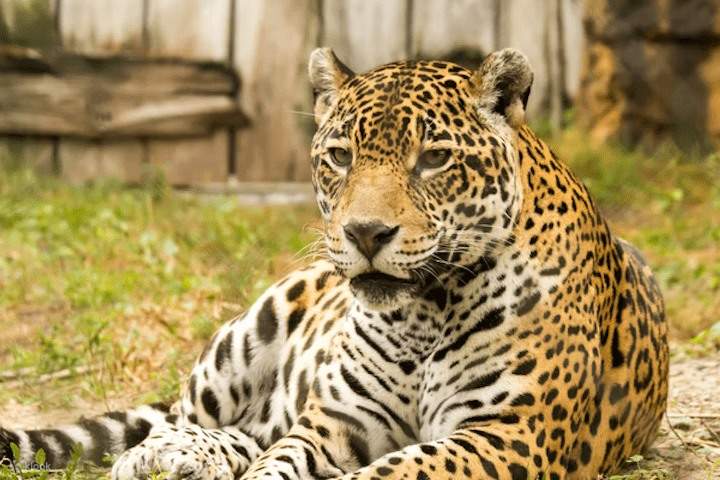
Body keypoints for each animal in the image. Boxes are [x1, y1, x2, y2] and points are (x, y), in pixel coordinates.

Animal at [1, 47, 668, 480]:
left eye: (434, 158)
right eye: (341, 156)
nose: (365, 232)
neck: (426, 311)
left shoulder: (507, 434)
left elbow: (396, 471)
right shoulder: (339, 419)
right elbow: (279, 462)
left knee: (248, 434)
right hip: (250, 328)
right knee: (190, 420)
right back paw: (159, 456)